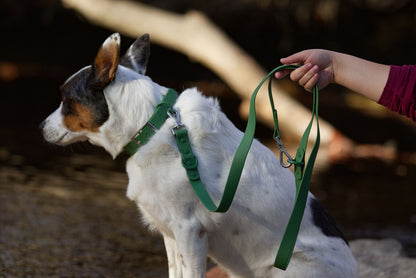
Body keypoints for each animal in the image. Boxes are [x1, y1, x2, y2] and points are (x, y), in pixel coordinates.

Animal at [42, 33, 360, 276]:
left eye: (66, 100)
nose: (40, 127)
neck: (151, 125)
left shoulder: (190, 232)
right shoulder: (171, 234)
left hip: (286, 269)